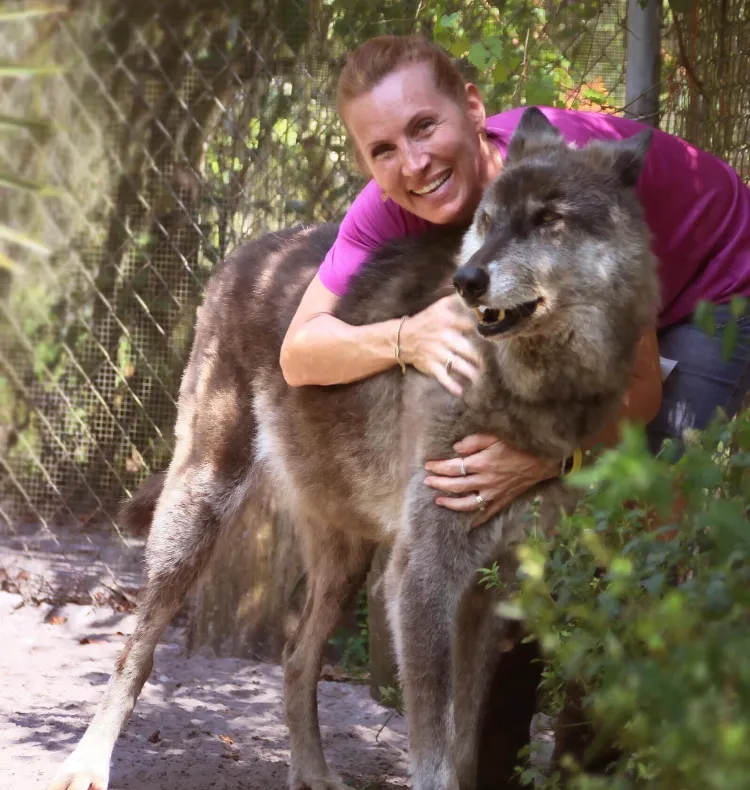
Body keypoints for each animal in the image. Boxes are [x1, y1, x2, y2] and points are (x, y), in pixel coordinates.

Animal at [48, 110, 656, 790]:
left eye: (549, 219)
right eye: (489, 220)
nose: (468, 281)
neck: (527, 392)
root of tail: (247, 254)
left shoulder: (489, 595)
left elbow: (466, 744)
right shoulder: (422, 579)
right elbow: (435, 755)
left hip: (345, 563)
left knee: (295, 659)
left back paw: (312, 772)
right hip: (197, 515)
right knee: (136, 650)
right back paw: (85, 764)